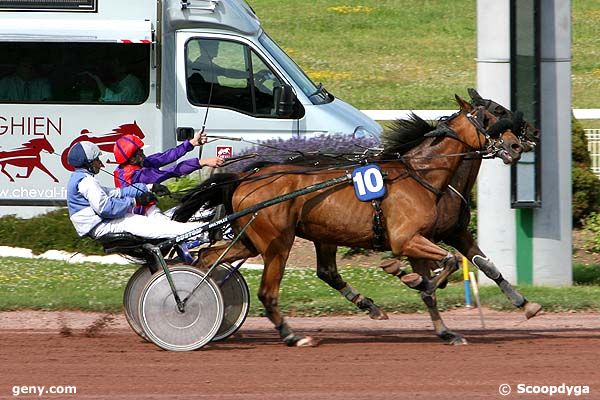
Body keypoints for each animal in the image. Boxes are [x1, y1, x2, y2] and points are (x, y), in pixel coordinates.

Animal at [175, 94, 524, 346]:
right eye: (490, 117)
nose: (517, 145)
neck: (421, 176)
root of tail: (246, 176)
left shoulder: (420, 240)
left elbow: (440, 281)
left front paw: (445, 330)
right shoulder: (406, 240)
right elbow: (447, 264)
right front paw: (409, 278)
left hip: (252, 239)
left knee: (207, 258)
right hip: (277, 243)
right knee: (267, 291)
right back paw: (291, 335)